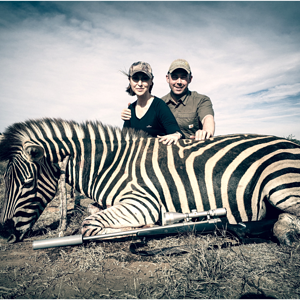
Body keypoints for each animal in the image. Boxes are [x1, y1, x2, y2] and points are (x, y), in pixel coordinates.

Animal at [0, 118, 298, 245]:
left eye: (27, 182)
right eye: (5, 179)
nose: (4, 233)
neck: (111, 164)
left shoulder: (142, 201)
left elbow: (89, 225)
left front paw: (145, 227)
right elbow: (90, 213)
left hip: (281, 186)